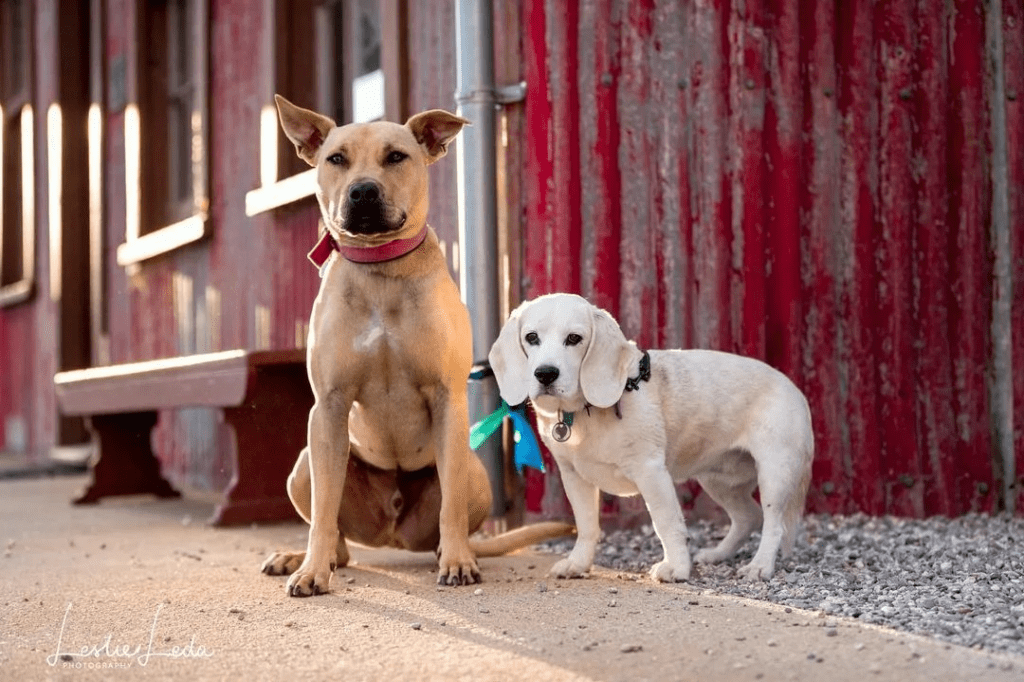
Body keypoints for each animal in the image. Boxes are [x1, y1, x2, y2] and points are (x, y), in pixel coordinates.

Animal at [260, 96, 573, 593]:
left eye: (396, 157)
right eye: (336, 159)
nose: (363, 192)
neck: (381, 270)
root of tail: (393, 532)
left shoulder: (448, 398)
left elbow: (451, 507)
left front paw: (459, 564)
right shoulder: (327, 406)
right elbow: (324, 512)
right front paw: (311, 570)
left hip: (473, 470)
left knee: (452, 516)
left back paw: (456, 552)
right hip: (305, 462)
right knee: (339, 540)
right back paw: (308, 558)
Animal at [489, 292, 815, 577]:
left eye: (574, 339)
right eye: (532, 337)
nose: (545, 374)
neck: (584, 413)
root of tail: (795, 390)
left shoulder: (651, 472)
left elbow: (667, 523)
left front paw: (677, 569)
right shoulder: (574, 476)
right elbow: (587, 526)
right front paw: (578, 564)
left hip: (775, 474)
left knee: (773, 524)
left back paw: (760, 566)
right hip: (718, 481)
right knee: (749, 517)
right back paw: (718, 554)